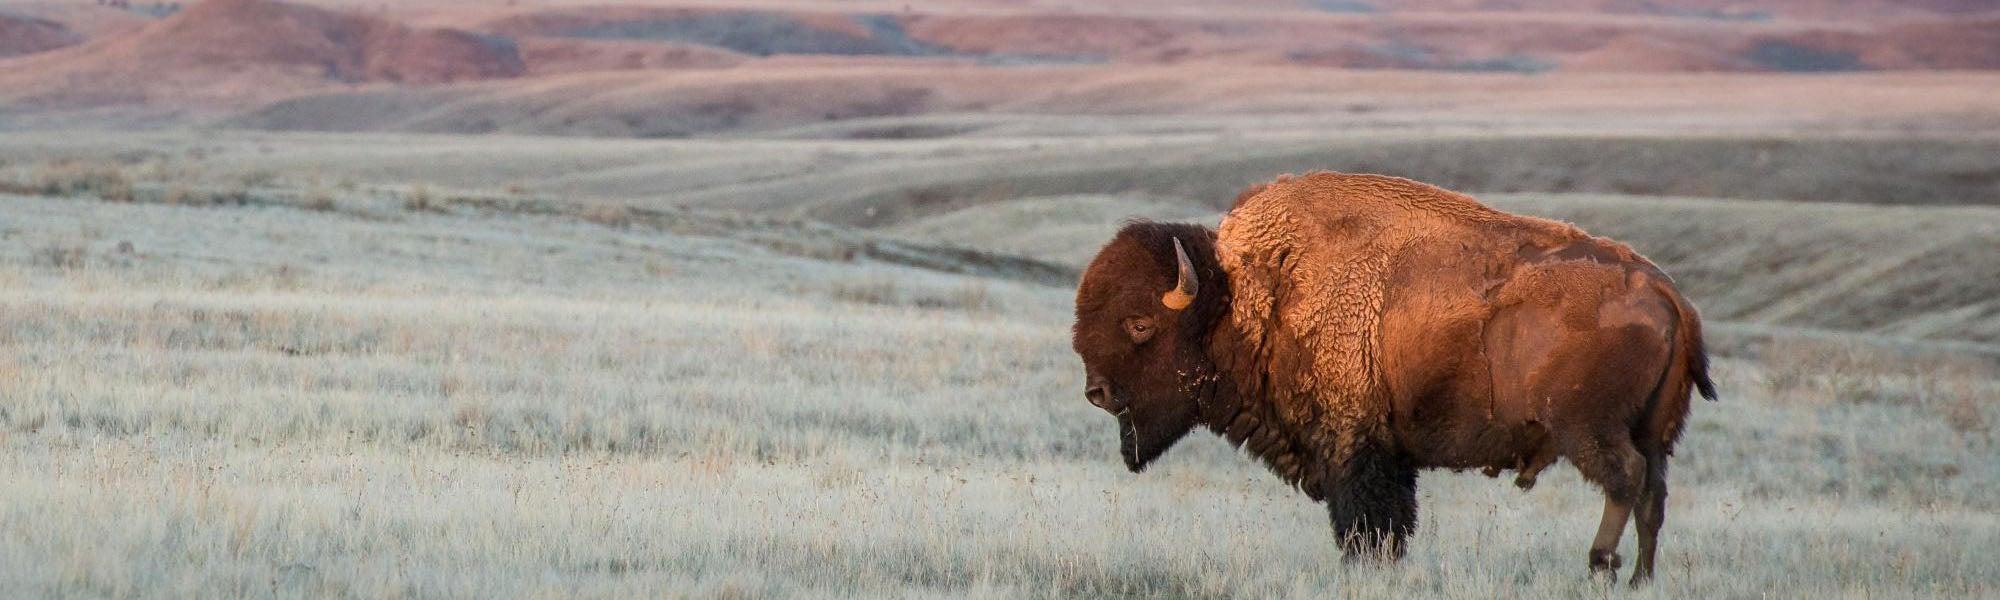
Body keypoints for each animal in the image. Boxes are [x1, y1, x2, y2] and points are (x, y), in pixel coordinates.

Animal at [1072, 171, 1712, 584]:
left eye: (1140, 324)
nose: (1096, 392)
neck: (1248, 297)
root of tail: (1668, 295)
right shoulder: (1389, 454)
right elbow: (1393, 523)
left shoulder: (1355, 447)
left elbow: (1367, 523)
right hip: (1655, 431)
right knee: (1653, 493)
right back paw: (1641, 579)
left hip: (1588, 428)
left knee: (1625, 480)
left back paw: (1600, 566)